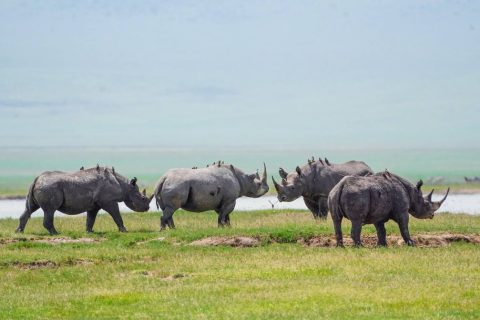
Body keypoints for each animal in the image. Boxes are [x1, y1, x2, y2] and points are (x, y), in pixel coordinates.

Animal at [16, 166, 152, 234]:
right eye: (142, 197)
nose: (147, 208)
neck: (125, 186)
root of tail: (36, 179)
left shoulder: (95, 204)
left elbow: (91, 218)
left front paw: (90, 231)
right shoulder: (109, 201)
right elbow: (116, 216)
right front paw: (124, 230)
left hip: (42, 187)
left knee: (31, 208)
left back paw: (19, 232)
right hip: (49, 187)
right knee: (50, 210)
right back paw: (56, 233)